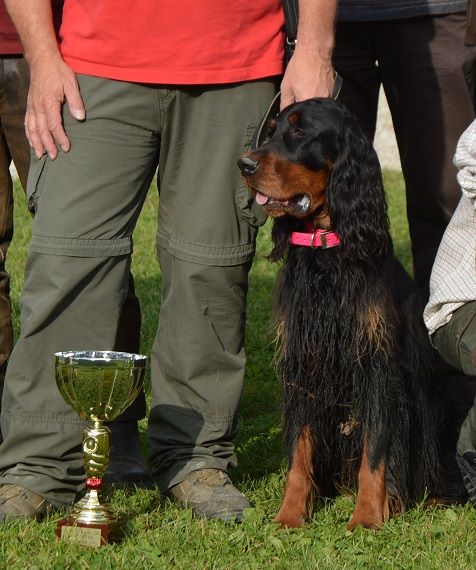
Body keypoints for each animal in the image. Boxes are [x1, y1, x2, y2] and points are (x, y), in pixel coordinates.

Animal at [238, 97, 450, 528]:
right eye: (272, 129)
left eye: (300, 132)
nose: (244, 164)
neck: (327, 249)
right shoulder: (303, 360)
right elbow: (299, 450)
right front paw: (289, 515)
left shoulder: (377, 365)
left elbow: (376, 449)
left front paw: (367, 516)